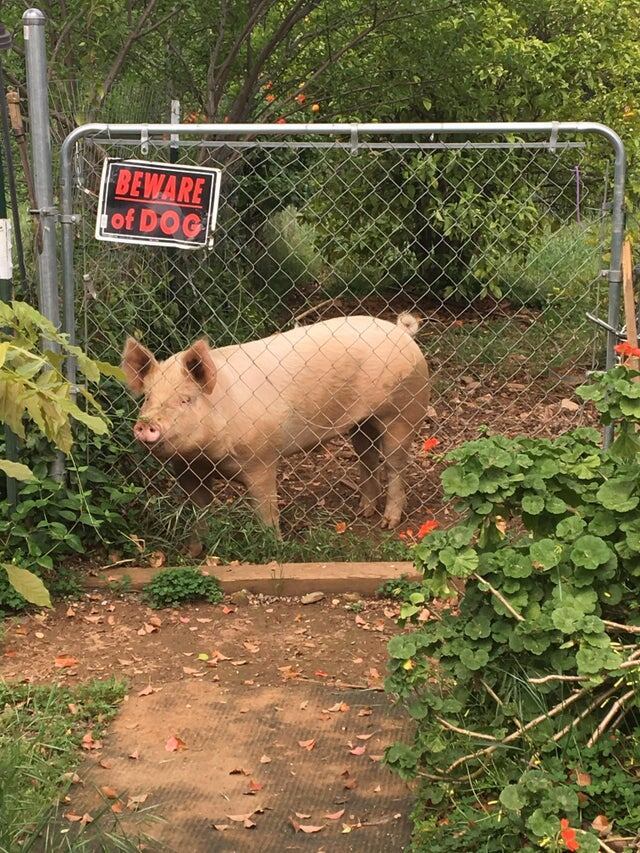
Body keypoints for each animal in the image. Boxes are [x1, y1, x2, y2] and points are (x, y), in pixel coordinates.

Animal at [121, 314, 430, 532]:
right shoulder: (187, 470)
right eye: (148, 397)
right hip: (362, 422)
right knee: (368, 456)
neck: (207, 457)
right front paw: (197, 551)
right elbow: (199, 511)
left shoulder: (261, 459)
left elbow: (266, 510)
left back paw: (387, 523)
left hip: (403, 411)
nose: (146, 423)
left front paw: (274, 545)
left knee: (394, 464)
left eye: (186, 399)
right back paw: (363, 511)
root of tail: (402, 332)